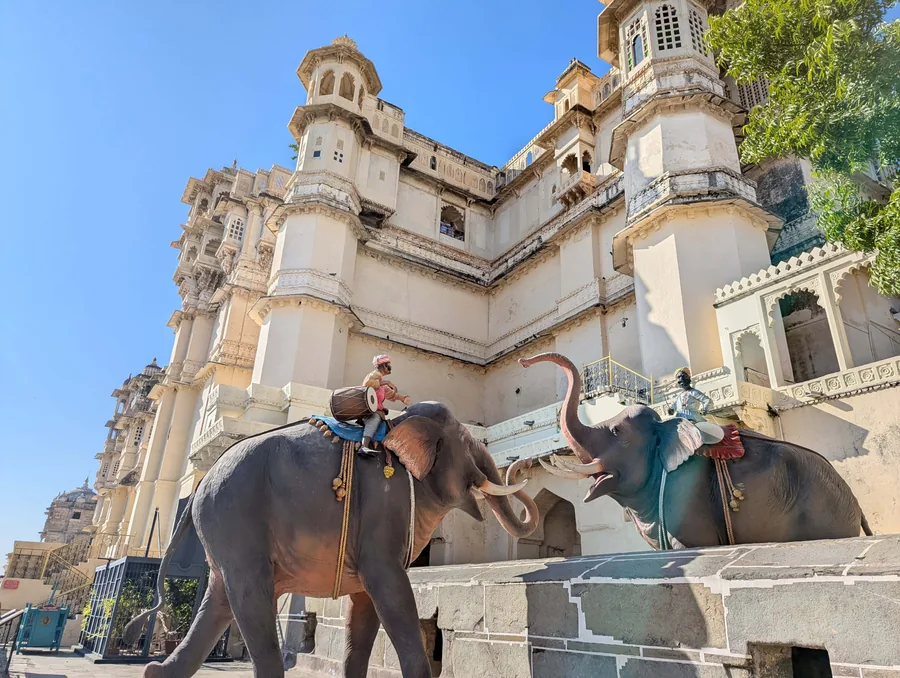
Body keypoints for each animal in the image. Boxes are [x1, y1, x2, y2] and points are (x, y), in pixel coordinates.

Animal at [124, 401, 538, 678]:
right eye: (468, 440)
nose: (520, 463)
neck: (397, 424)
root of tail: (201, 483)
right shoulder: (383, 508)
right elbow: (390, 589)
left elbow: (366, 605)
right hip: (234, 519)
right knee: (250, 597)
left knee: (219, 602)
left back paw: (156, 672)